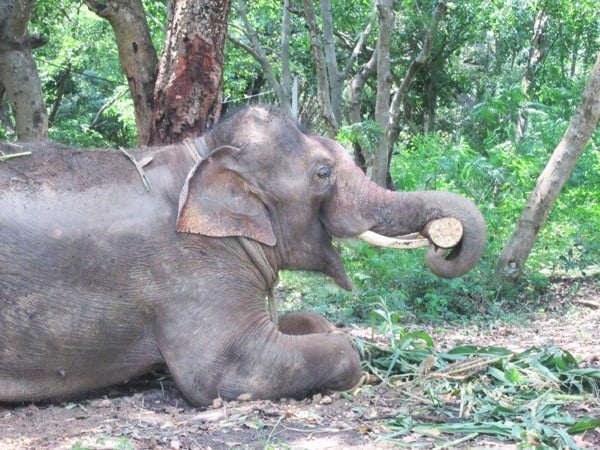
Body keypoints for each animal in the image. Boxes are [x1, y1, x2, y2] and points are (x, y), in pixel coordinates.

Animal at [0, 104, 486, 404]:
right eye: (322, 173)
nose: (443, 240)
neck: (201, 151)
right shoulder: (185, 267)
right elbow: (225, 370)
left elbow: (310, 321)